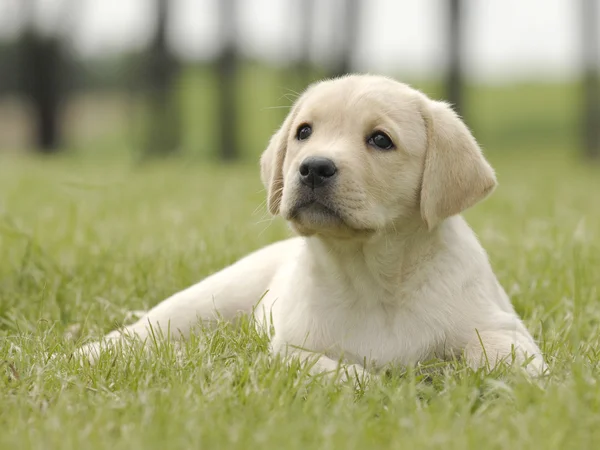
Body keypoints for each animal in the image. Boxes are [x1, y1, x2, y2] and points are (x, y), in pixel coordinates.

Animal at [77, 75, 548, 378]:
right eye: (304, 132)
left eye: (381, 140)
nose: (314, 168)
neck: (373, 277)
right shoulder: (290, 348)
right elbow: (333, 371)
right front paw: (373, 385)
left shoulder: (504, 329)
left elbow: (508, 360)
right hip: (207, 300)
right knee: (144, 331)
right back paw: (84, 353)